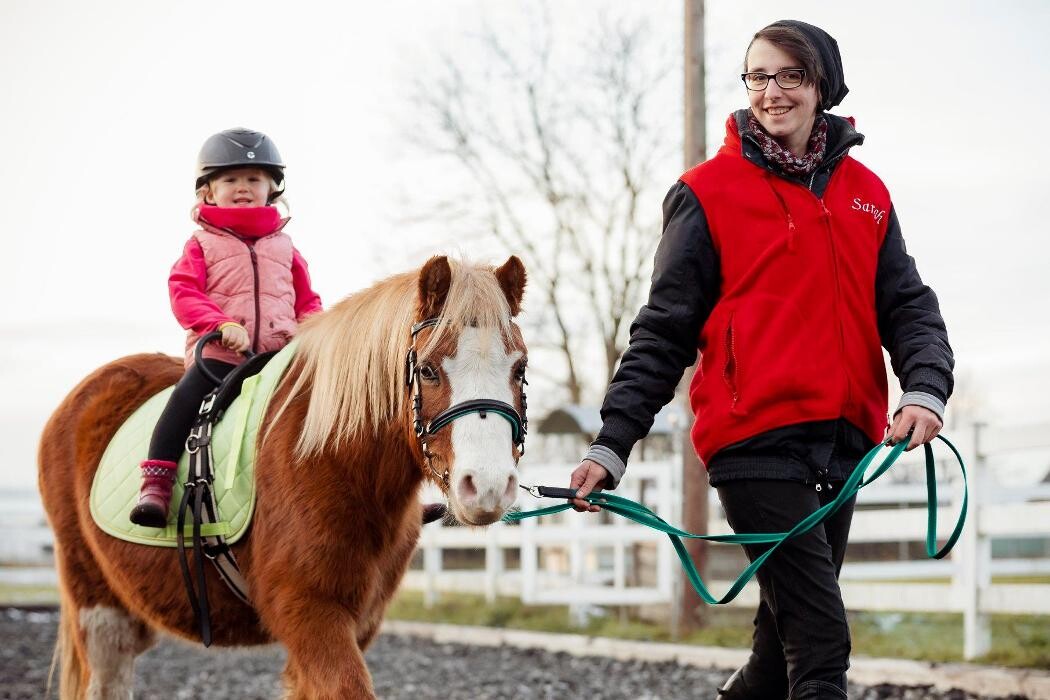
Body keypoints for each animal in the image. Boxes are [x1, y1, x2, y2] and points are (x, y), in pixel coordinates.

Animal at [38, 257, 529, 700]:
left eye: (520, 368)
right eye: (427, 370)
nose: (486, 485)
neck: (336, 462)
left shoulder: (354, 625)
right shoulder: (311, 615)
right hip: (99, 610)